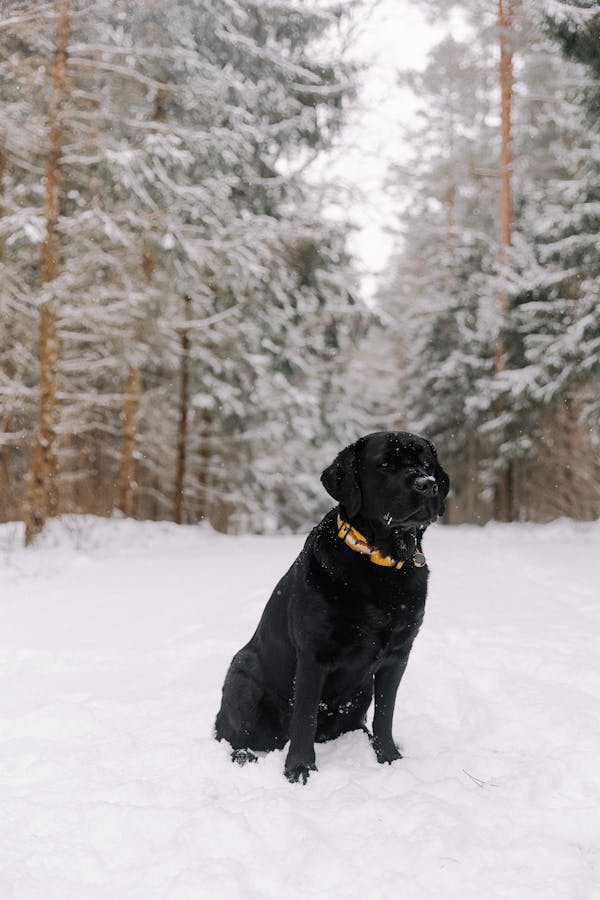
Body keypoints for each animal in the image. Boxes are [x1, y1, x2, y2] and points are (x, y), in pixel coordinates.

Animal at [213, 428, 448, 780]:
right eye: (385, 464)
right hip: (243, 674)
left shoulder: (398, 654)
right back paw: (244, 756)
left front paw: (389, 757)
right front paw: (299, 770)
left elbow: (386, 714)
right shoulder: (314, 654)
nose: (427, 484)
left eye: (427, 464)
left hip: (360, 693)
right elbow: (305, 717)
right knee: (233, 737)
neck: (379, 560)